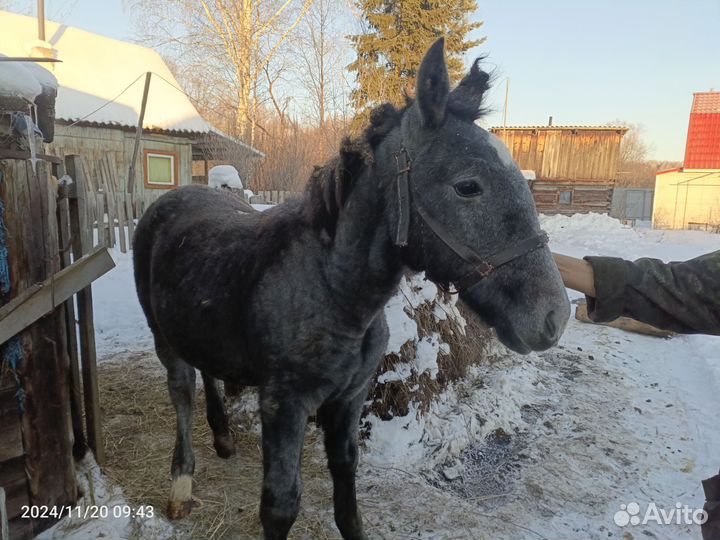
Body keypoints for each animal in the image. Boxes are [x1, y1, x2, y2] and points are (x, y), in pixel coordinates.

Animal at [132, 38, 570, 540]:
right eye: (467, 186)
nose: (555, 317)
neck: (334, 291)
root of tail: (172, 198)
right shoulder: (283, 406)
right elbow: (279, 505)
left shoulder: (349, 398)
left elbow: (347, 490)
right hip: (163, 338)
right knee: (181, 391)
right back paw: (181, 484)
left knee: (207, 370)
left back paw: (223, 439)